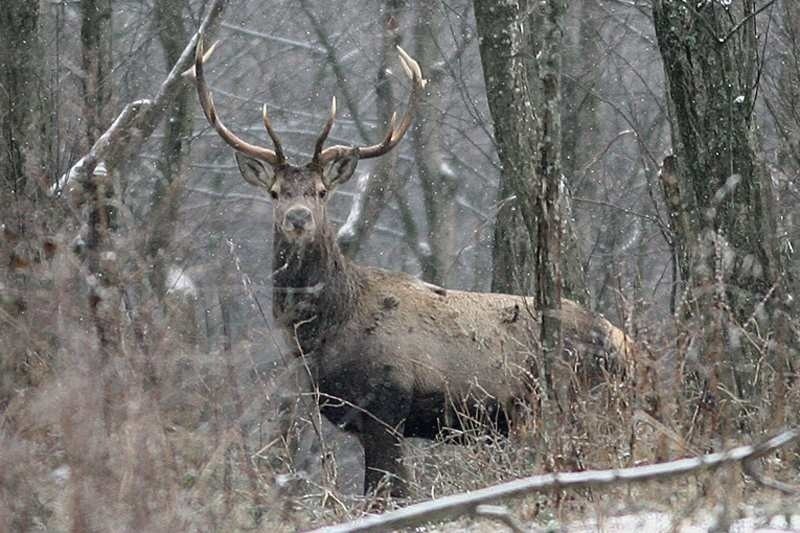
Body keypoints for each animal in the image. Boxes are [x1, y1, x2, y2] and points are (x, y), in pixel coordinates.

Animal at [189, 35, 636, 496]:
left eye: (321, 191)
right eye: (276, 192)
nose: (298, 218)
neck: (326, 329)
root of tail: (627, 344)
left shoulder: (388, 405)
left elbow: (389, 495)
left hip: (582, 400)